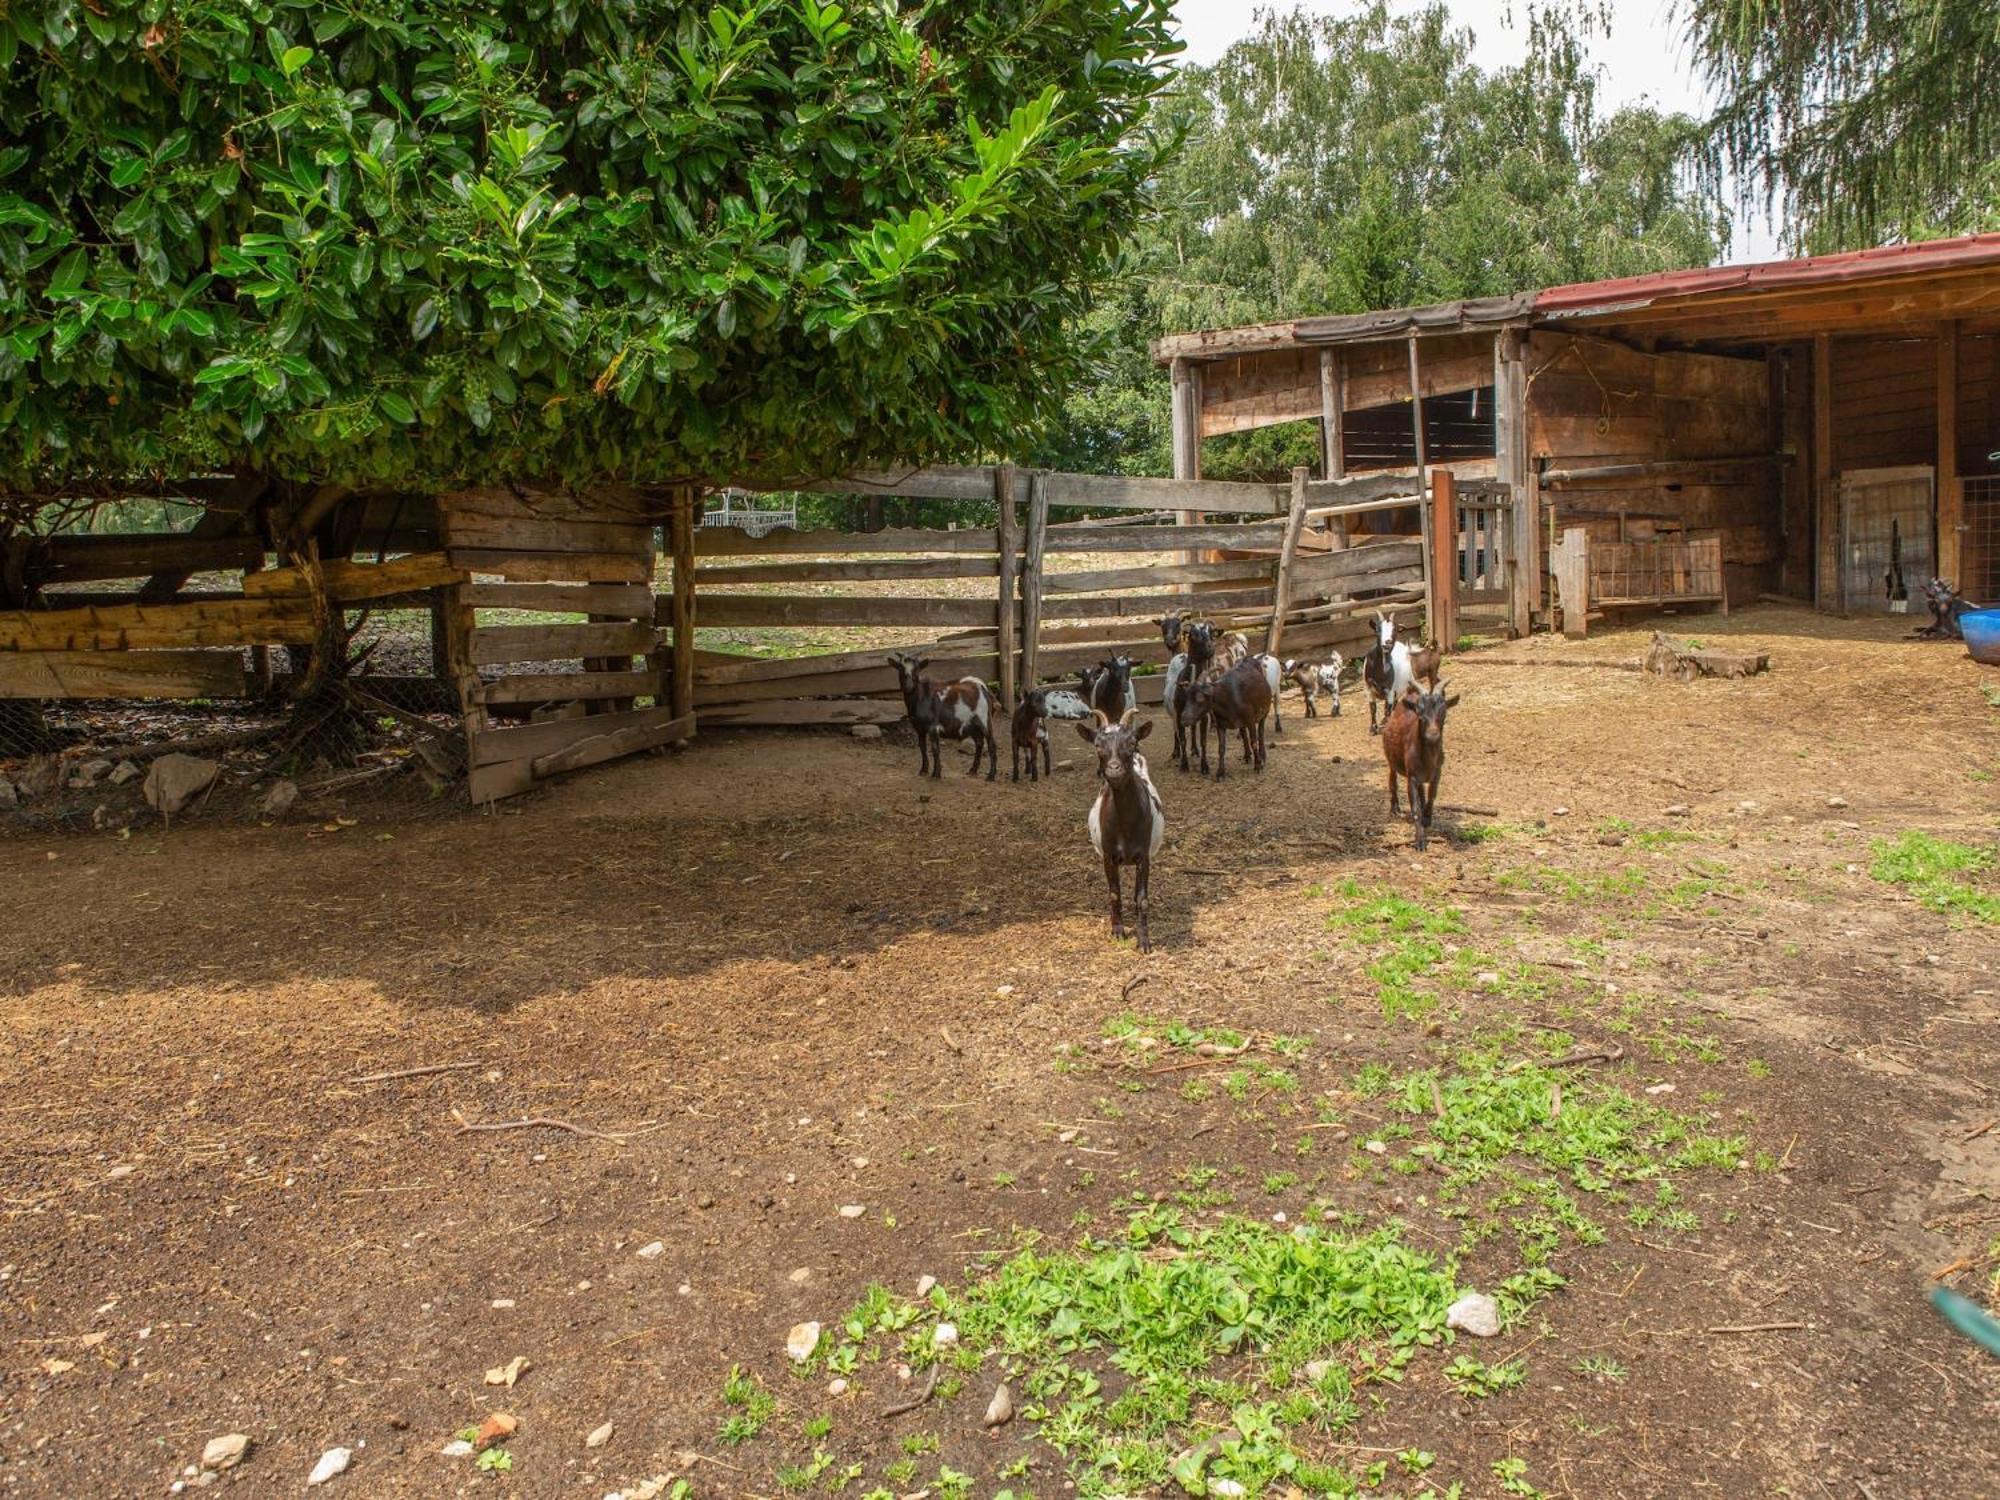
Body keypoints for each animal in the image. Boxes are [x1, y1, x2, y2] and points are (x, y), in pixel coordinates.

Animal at [888, 652, 996, 780]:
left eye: (917, 669)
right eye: (900, 667)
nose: (909, 686)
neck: (922, 697)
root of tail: (982, 686)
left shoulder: (933, 726)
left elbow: (935, 749)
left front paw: (936, 774)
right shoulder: (919, 727)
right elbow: (922, 747)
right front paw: (923, 770)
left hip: (985, 720)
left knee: (991, 745)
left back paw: (991, 776)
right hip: (972, 725)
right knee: (979, 743)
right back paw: (972, 771)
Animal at [1072, 716, 1168, 952]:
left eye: (1131, 743)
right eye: (1097, 745)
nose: (1114, 769)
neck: (1125, 826)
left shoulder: (1143, 856)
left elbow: (1142, 899)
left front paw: (1144, 942)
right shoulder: (1108, 856)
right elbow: (1114, 894)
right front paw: (1118, 932)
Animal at [1368, 608, 1416, 736]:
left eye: (1394, 630)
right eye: (1378, 629)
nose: (1387, 642)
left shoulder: (1389, 690)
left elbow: (1387, 709)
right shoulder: (1368, 689)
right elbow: (1373, 708)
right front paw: (1372, 729)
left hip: (1407, 683)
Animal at [1384, 684, 1448, 852]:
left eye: (1444, 713)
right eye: (1420, 715)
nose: (1433, 735)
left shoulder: (1437, 772)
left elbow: (1432, 795)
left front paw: (1428, 818)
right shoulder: (1412, 776)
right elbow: (1415, 809)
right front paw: (1420, 842)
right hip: (1391, 760)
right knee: (1392, 781)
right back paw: (1395, 808)